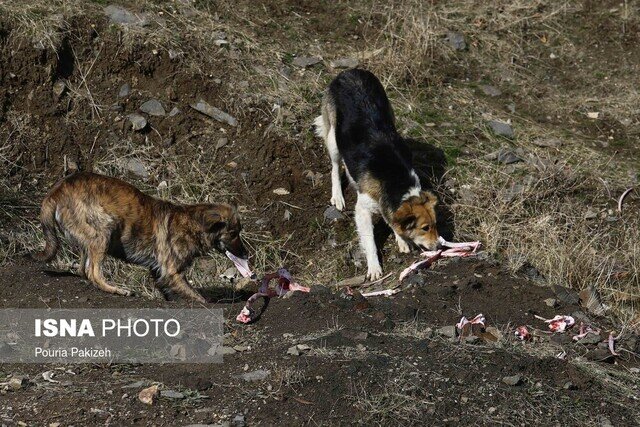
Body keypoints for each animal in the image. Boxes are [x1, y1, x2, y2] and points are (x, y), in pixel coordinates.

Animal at [316, 69, 440, 280]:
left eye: (435, 224)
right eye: (425, 228)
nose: (440, 246)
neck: (395, 181)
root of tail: (350, 71)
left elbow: (392, 220)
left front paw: (401, 239)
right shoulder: (362, 210)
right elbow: (370, 242)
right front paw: (374, 267)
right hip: (333, 139)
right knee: (334, 167)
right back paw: (338, 195)